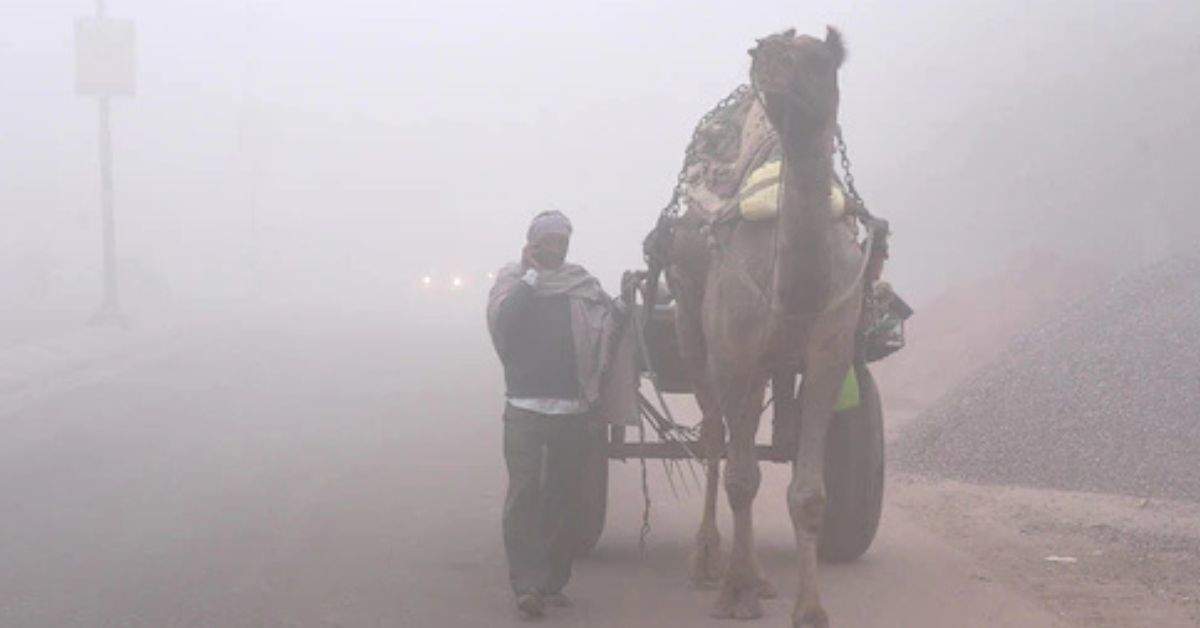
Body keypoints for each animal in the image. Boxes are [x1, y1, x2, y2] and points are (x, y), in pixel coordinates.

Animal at [657, 28, 864, 628]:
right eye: (764, 53)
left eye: (819, 59)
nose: (768, 59)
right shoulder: (731, 350)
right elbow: (741, 476)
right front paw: (736, 593)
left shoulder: (829, 351)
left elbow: (808, 492)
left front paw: (810, 609)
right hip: (693, 328)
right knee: (716, 440)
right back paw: (711, 562)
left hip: (769, 362)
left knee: (741, 431)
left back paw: (760, 576)